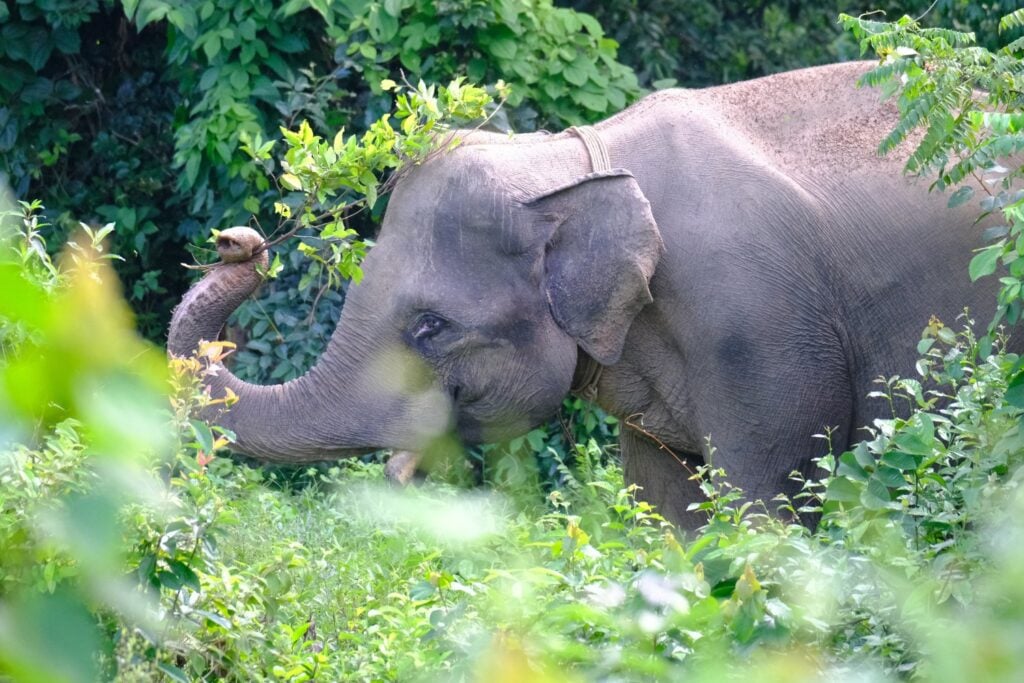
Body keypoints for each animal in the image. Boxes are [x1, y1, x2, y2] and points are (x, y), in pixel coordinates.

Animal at [169, 61, 1010, 529]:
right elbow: (671, 510)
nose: (238, 240)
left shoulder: (760, 327)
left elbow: (766, 503)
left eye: (431, 327)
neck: (574, 159)